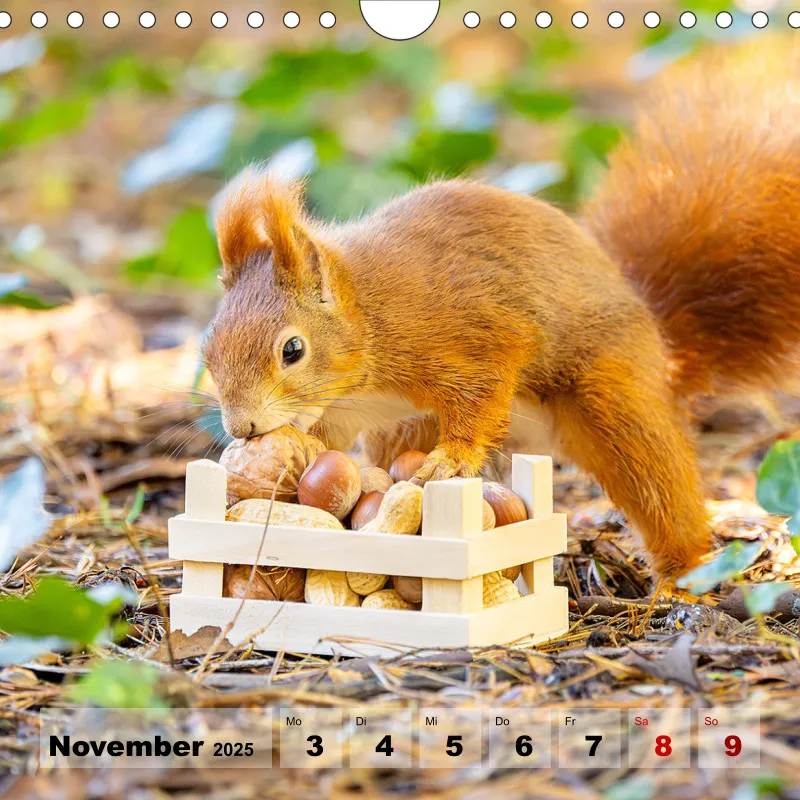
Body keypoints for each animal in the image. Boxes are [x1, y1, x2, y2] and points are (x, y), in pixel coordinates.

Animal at [203, 41, 800, 578]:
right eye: (207, 349)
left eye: (293, 350)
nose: (242, 428)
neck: (371, 319)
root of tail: (658, 339)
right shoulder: (351, 410)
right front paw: (283, 461)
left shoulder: (471, 335)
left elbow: (482, 392)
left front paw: (454, 457)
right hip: (406, 428)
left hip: (613, 396)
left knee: (659, 483)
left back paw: (683, 577)